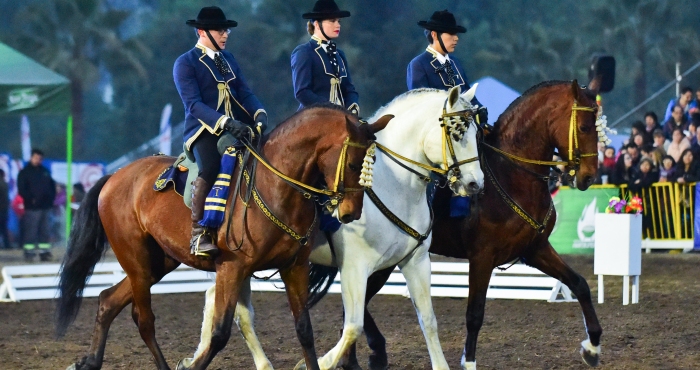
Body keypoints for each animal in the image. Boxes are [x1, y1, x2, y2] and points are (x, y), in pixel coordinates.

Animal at [53, 105, 394, 370]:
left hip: (157, 263)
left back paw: (90, 361)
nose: (350, 213)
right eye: (353, 163)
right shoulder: (232, 268)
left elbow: (304, 329)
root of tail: (116, 176)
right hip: (135, 260)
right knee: (143, 319)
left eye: (372, 162)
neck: (276, 187)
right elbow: (219, 334)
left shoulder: (294, 267)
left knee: (108, 301)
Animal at [183, 85, 484, 368]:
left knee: (217, 297)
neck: (395, 186)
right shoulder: (354, 266)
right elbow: (353, 325)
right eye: (457, 133)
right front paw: (318, 363)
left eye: (476, 133)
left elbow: (428, 319)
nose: (475, 184)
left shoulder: (414, 260)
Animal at [344, 79, 600, 370]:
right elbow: (475, 313)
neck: (512, 175)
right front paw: (468, 362)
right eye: (584, 127)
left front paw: (592, 348)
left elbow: (579, 283)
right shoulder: (482, 256)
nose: (589, 177)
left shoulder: (535, 249)